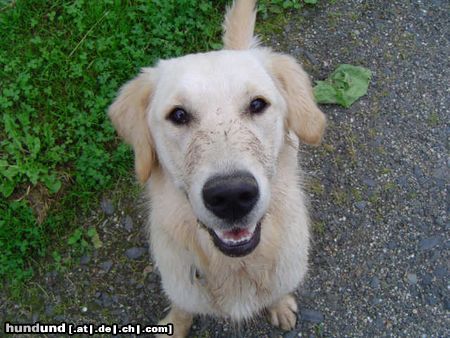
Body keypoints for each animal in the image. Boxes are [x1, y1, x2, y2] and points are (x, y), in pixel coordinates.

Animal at [110, 0, 326, 336]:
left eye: (257, 104)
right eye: (178, 115)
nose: (232, 196)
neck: (234, 265)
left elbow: (278, 292)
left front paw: (280, 306)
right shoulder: (181, 287)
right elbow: (182, 309)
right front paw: (175, 325)